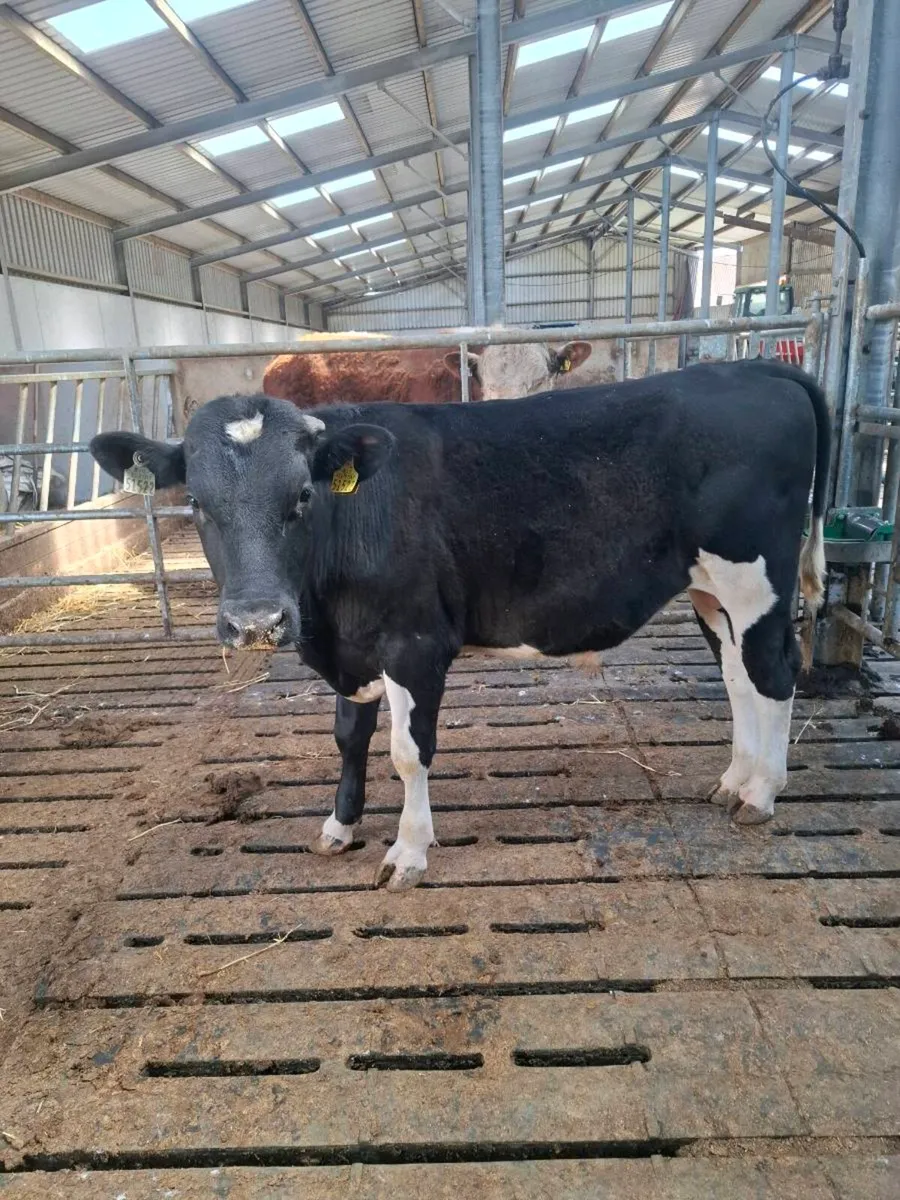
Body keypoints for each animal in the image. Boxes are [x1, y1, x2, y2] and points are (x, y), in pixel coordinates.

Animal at [90, 359, 829, 891]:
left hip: (756, 576)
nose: (255, 621)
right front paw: (339, 826)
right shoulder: (353, 646)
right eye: (197, 503)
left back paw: (762, 794)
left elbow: (406, 751)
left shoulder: (415, 644)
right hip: (711, 591)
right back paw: (733, 781)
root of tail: (749, 367)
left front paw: (408, 851)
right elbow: (349, 736)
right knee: (737, 677)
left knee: (773, 673)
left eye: (301, 495)